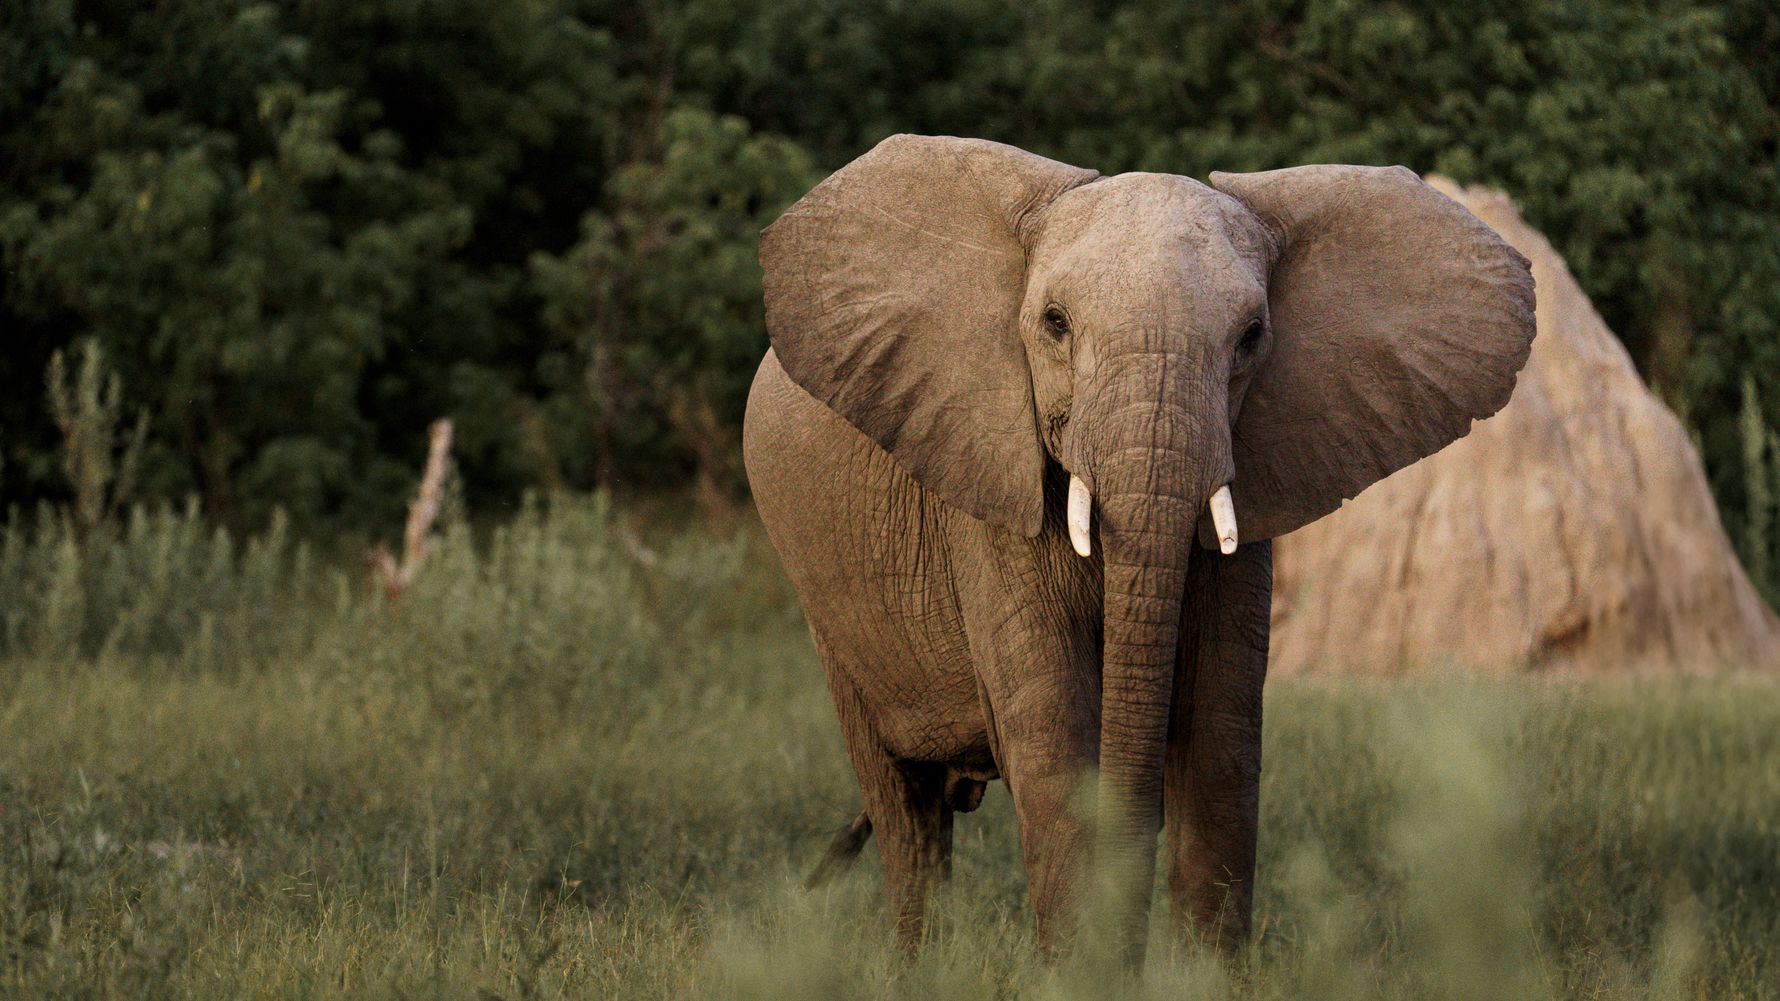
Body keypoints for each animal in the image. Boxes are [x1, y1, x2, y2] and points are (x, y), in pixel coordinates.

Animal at [742, 135, 1535, 962]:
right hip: (828, 607)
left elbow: (1221, 733)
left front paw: (1196, 975)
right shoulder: (986, 489)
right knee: (906, 809)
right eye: (1054, 322)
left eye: (1252, 337)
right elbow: (1055, 740)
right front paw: (1078, 973)